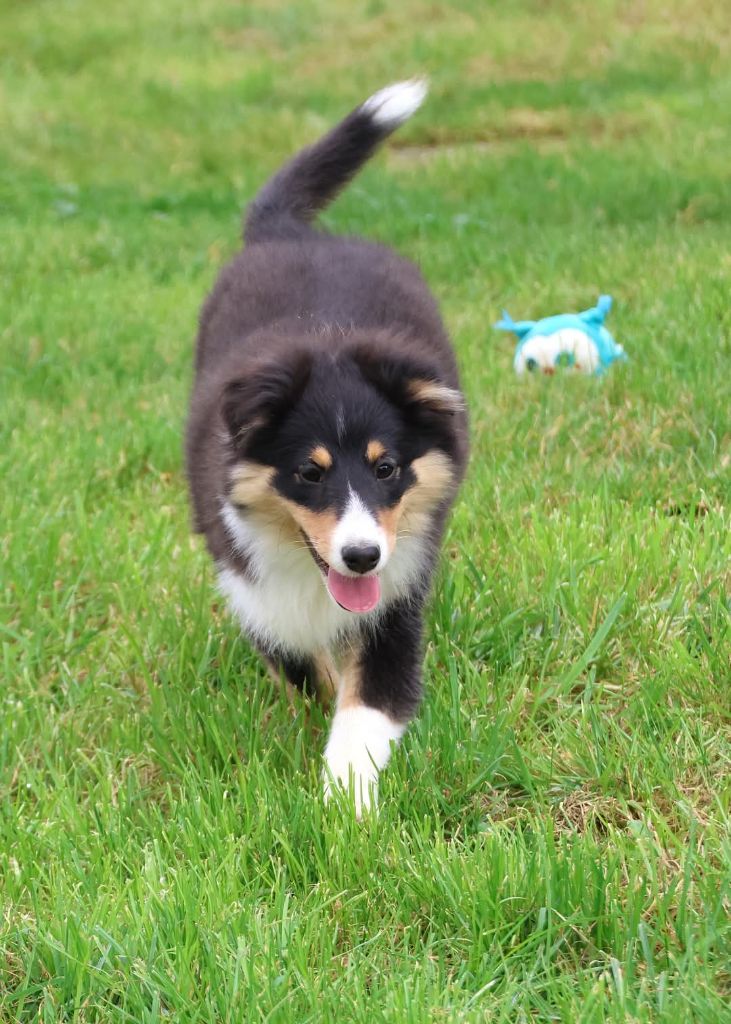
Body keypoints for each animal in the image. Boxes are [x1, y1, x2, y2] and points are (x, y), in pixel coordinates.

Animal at [185, 77, 464, 815]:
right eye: (307, 475)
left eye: (386, 467)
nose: (362, 556)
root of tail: (294, 233)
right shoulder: (252, 585)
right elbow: (301, 665)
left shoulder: (397, 593)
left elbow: (366, 705)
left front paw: (346, 800)